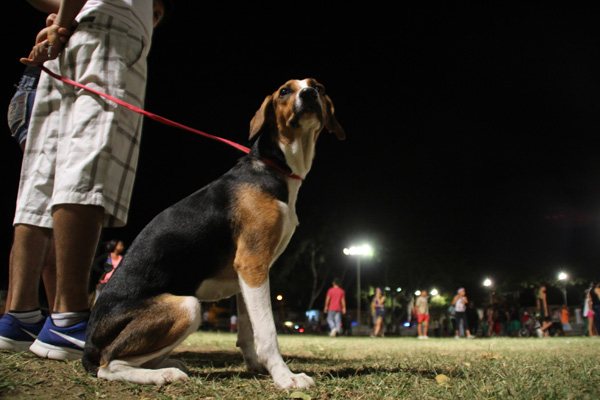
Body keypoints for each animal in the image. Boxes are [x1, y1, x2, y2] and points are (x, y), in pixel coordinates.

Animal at [82, 78, 345, 389]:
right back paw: (163, 374)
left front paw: (256, 368)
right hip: (186, 307)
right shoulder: (252, 263)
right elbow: (267, 332)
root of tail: (88, 346)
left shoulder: (246, 274)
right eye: (284, 91)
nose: (309, 94)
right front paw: (284, 377)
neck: (273, 167)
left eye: (319, 87)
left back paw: (169, 364)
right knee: (109, 365)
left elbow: (247, 331)